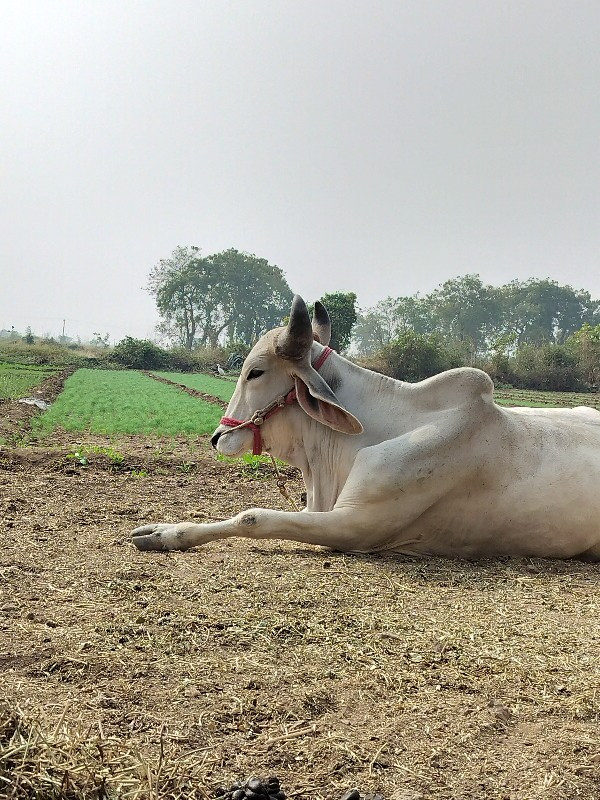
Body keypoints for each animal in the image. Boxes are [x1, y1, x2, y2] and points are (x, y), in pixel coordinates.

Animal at [134, 296, 600, 564]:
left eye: (255, 372)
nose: (218, 438)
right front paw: (164, 529)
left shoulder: (355, 525)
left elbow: (253, 517)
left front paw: (165, 534)